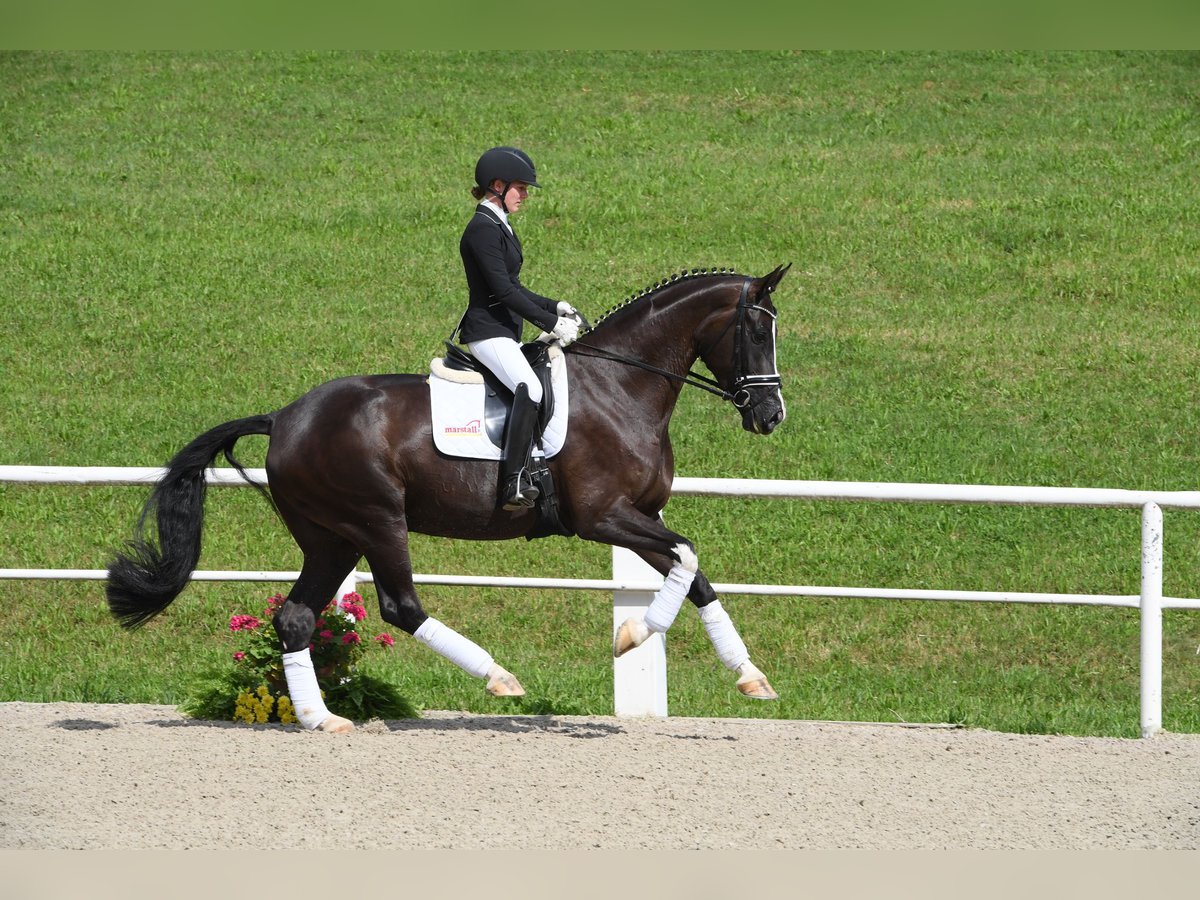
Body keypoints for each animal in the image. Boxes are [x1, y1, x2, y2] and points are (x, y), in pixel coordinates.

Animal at [108, 266, 792, 734]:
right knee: (400, 606)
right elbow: (687, 556)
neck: (621, 385)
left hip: (332, 536)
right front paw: (630, 636)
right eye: (757, 330)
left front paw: (750, 677)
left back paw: (322, 719)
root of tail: (283, 418)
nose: (771, 415)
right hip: (376, 520)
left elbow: (693, 572)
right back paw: (499, 678)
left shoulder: (640, 517)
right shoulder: (604, 517)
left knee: (296, 617)